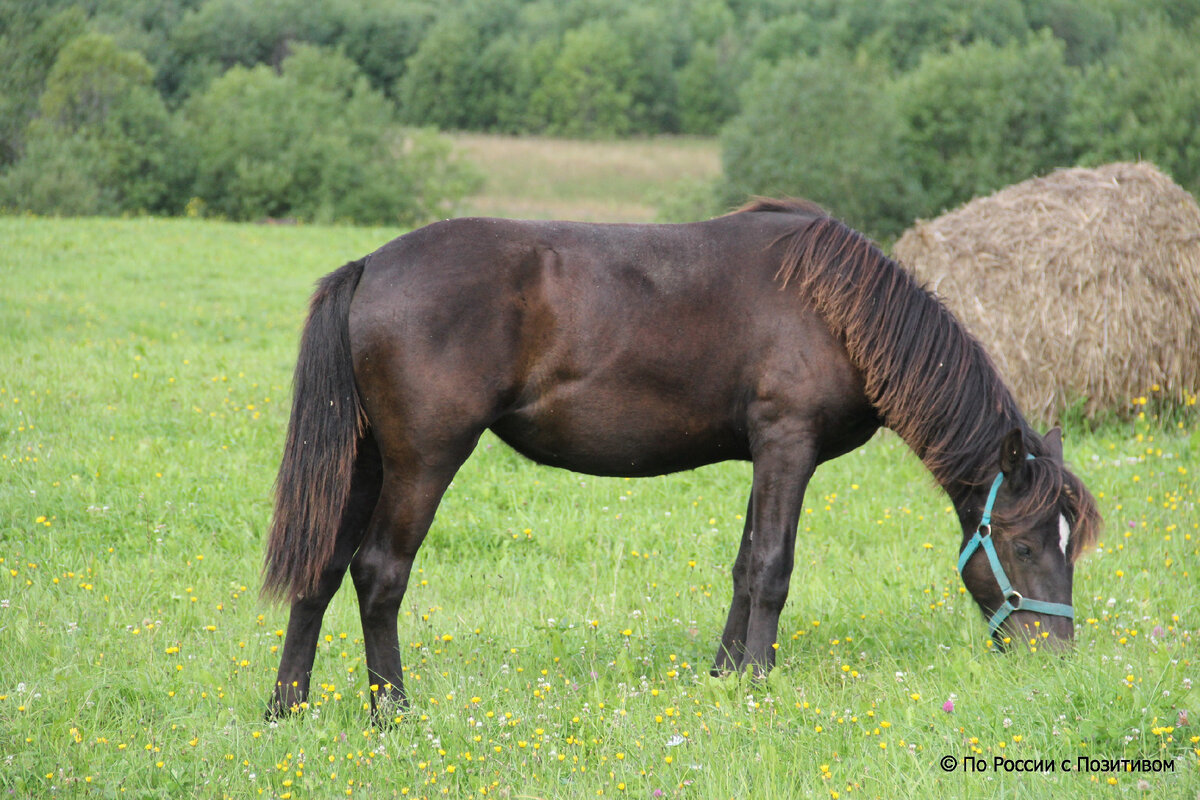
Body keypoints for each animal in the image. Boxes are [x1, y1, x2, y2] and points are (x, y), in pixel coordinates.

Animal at [260, 199, 1099, 719]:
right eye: (1028, 546)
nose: (1058, 658)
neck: (836, 308)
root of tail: (370, 265)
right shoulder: (788, 443)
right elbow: (773, 567)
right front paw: (758, 682)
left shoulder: (765, 455)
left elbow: (745, 564)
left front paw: (724, 677)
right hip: (422, 463)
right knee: (379, 573)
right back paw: (393, 713)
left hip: (364, 460)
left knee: (322, 568)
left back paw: (286, 708)